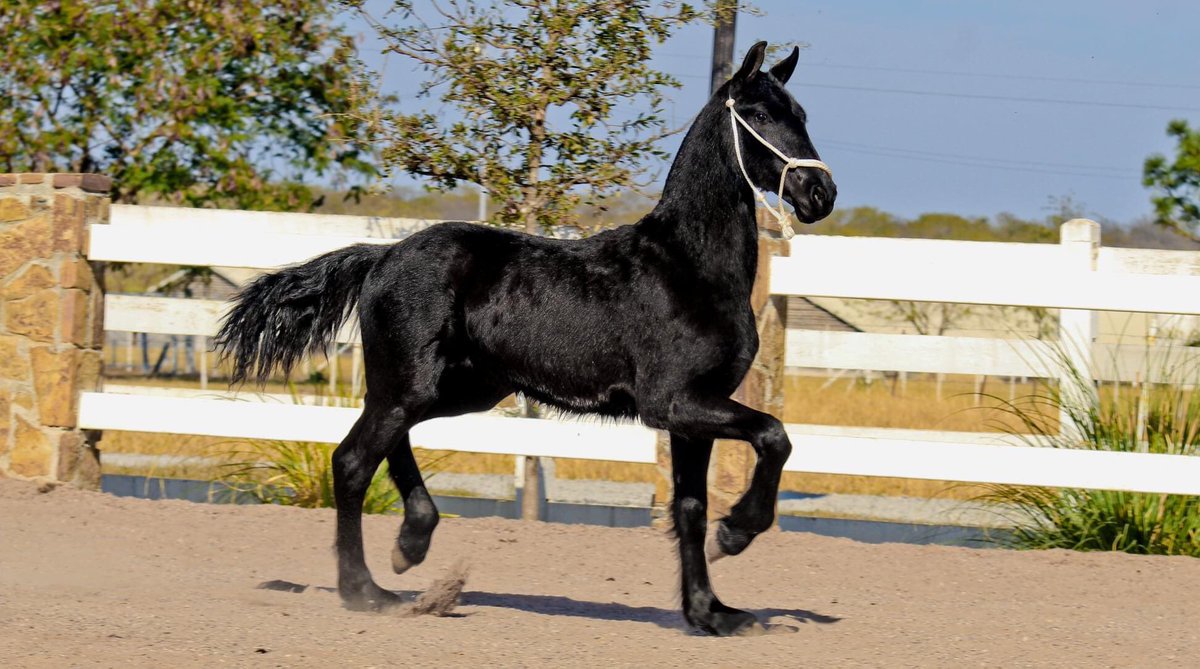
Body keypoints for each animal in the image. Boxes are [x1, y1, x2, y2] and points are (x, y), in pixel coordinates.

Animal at [215, 41, 836, 636]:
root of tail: (382, 257)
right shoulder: (675, 403)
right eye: (760, 115)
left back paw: (411, 543)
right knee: (351, 461)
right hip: (413, 385)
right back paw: (366, 590)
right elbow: (774, 436)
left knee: (387, 441)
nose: (820, 193)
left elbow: (690, 507)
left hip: (457, 390)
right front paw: (737, 532)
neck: (688, 268)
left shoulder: (693, 417)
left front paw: (713, 613)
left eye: (802, 114)